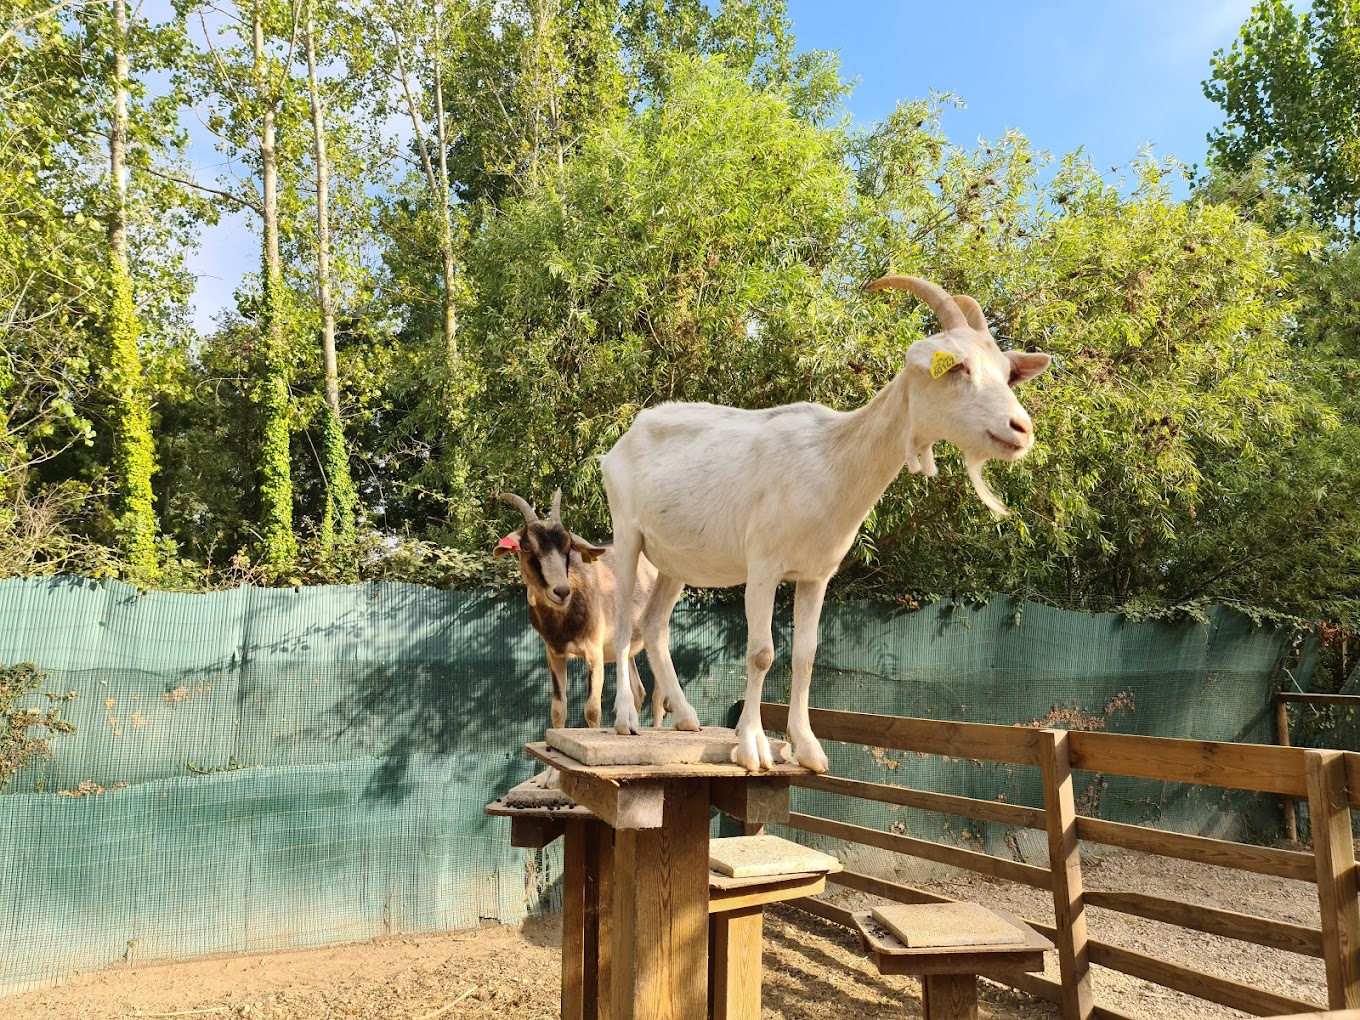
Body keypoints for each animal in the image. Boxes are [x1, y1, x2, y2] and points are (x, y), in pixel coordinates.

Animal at [495, 492, 663, 728]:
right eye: (527, 548)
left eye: (567, 547)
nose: (561, 591)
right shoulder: (554, 653)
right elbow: (558, 710)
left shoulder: (594, 651)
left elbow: (592, 710)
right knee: (638, 691)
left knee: (658, 696)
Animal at [601, 276, 1055, 772]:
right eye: (958, 367)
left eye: (1006, 373)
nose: (1020, 429)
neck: (829, 461)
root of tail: (622, 441)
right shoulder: (764, 566)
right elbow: (761, 653)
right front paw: (752, 746)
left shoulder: (816, 574)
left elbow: (805, 656)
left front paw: (809, 748)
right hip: (627, 534)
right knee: (623, 621)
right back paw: (625, 720)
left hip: (674, 563)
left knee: (655, 625)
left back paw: (686, 718)